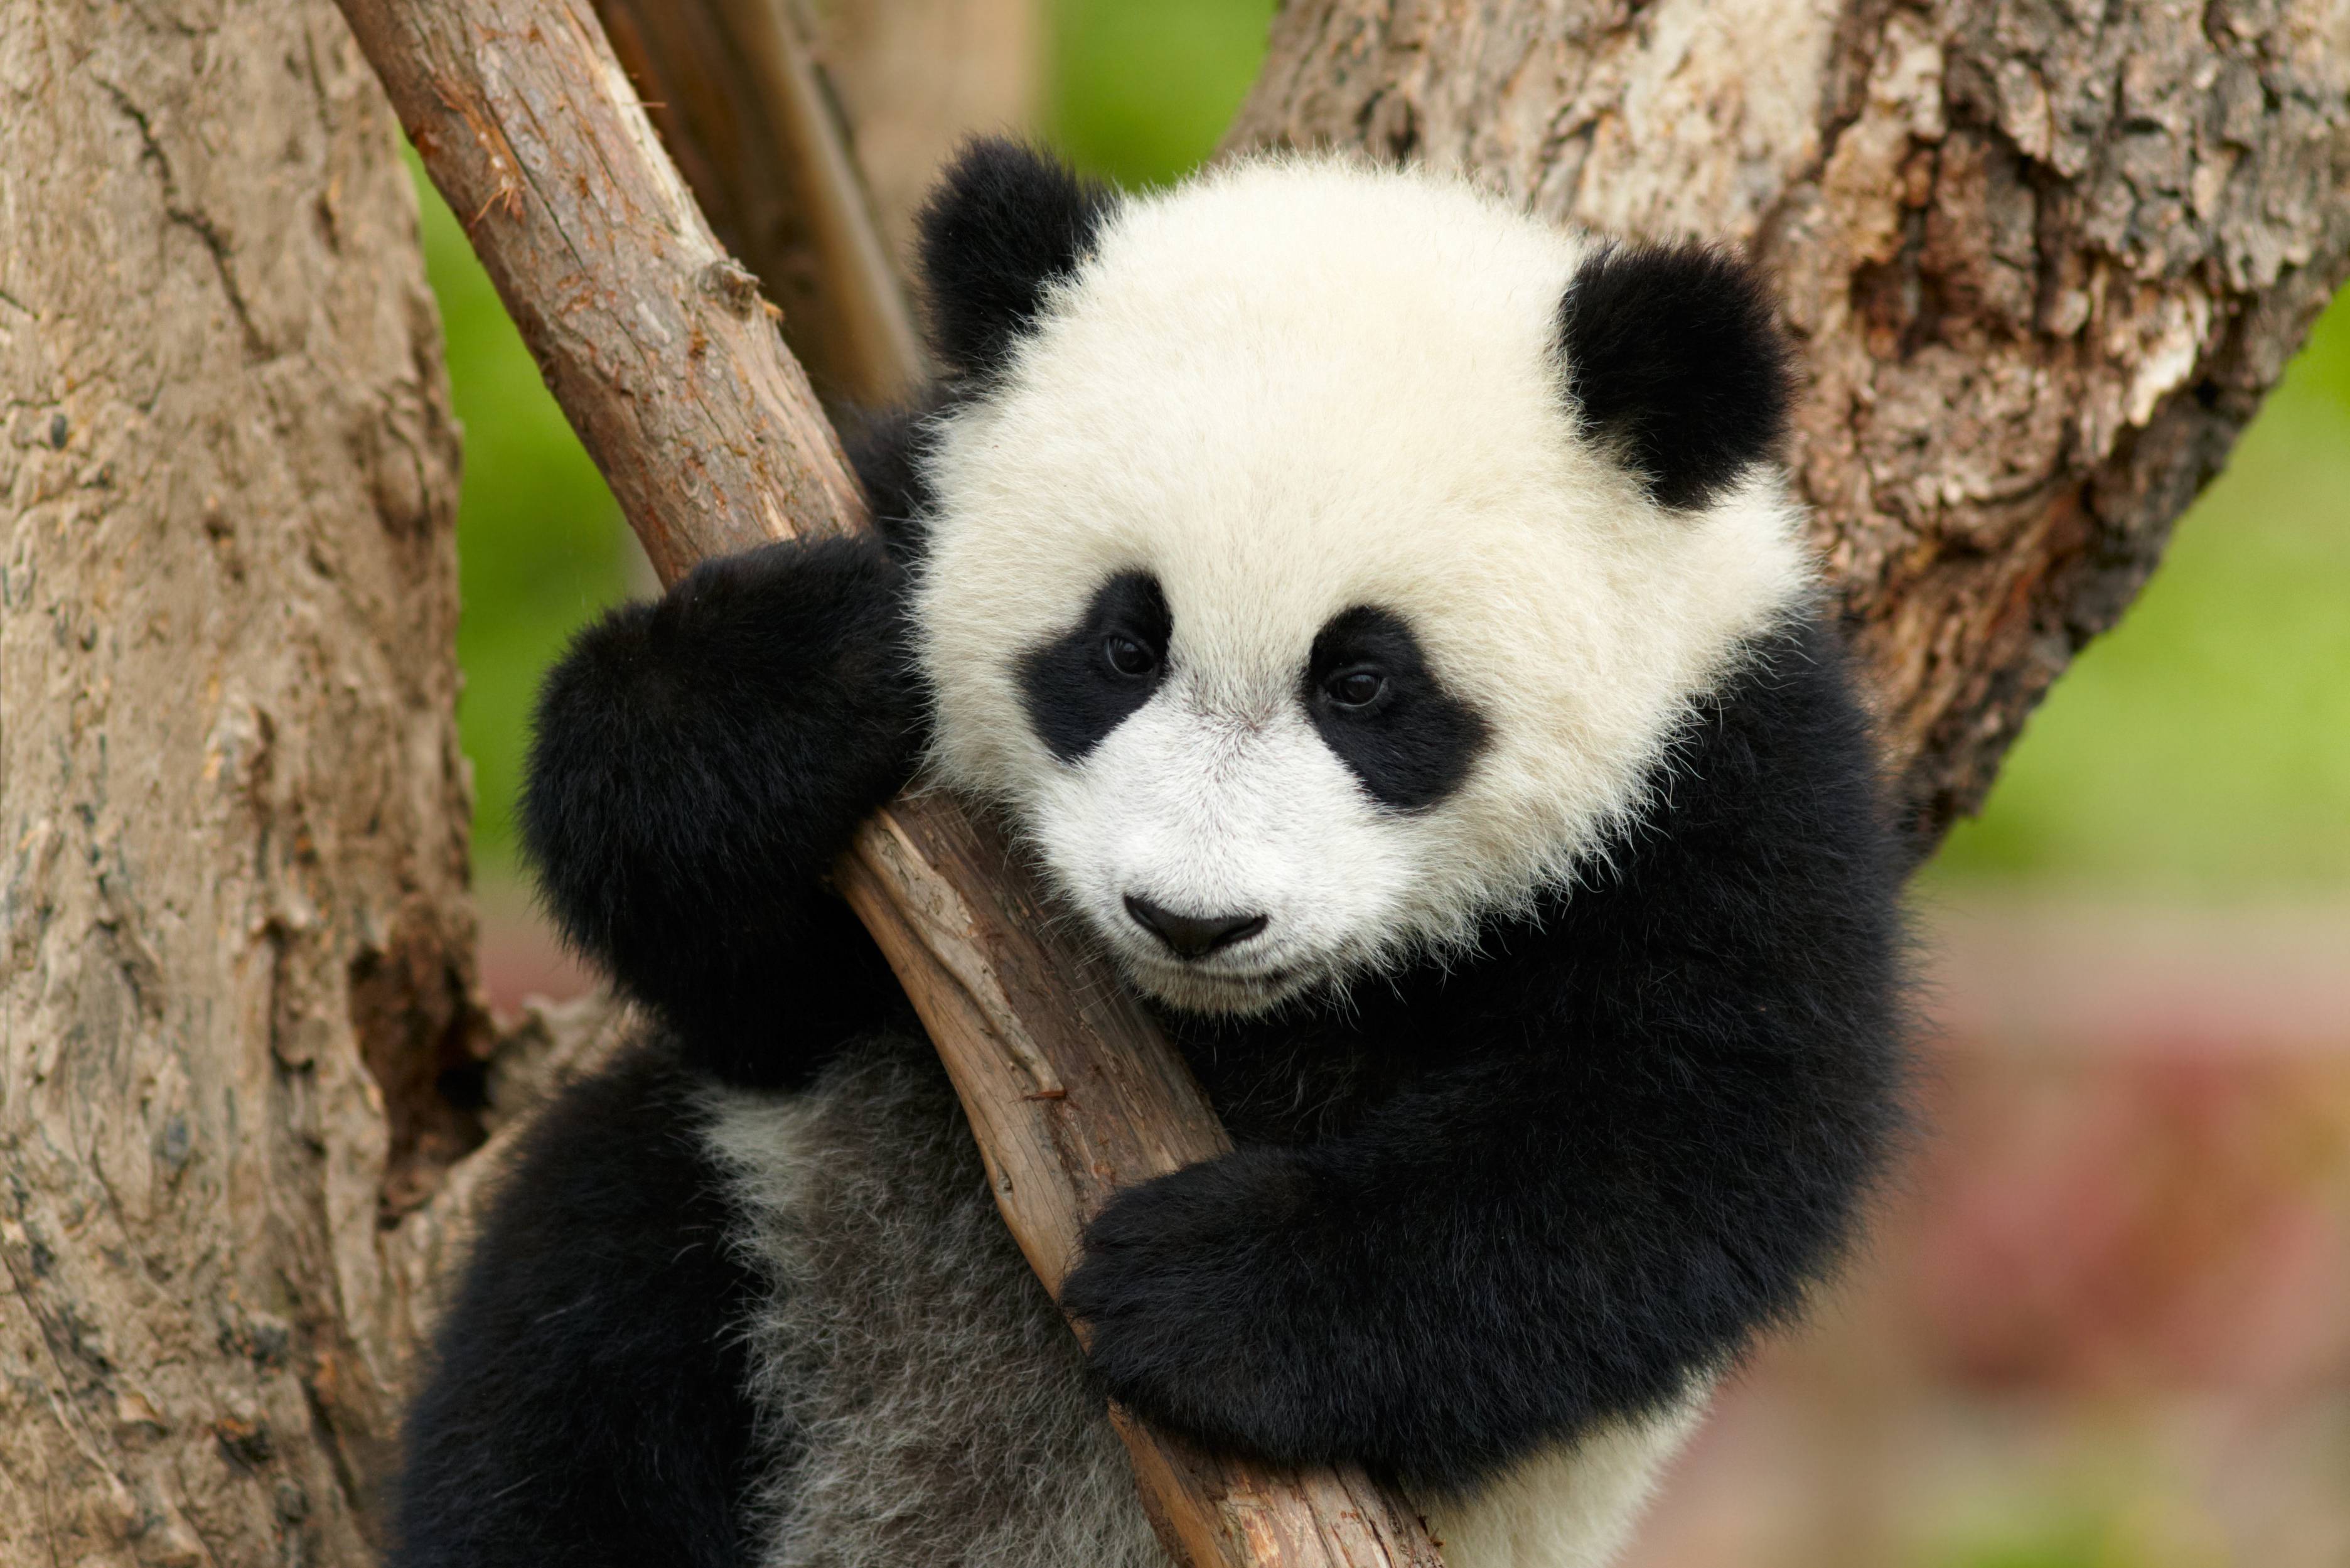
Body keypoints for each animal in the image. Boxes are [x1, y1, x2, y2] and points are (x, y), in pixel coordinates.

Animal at [392, 141, 1909, 1568]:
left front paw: (1209, 1289)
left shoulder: (1731, 773)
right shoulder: (895, 521)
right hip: (757, 1223)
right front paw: (771, 679)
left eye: (1363, 683)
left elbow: (1686, 1137)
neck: (1241, 1024)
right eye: (1124, 645)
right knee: (573, 1367)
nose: (1193, 920)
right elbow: (744, 979)